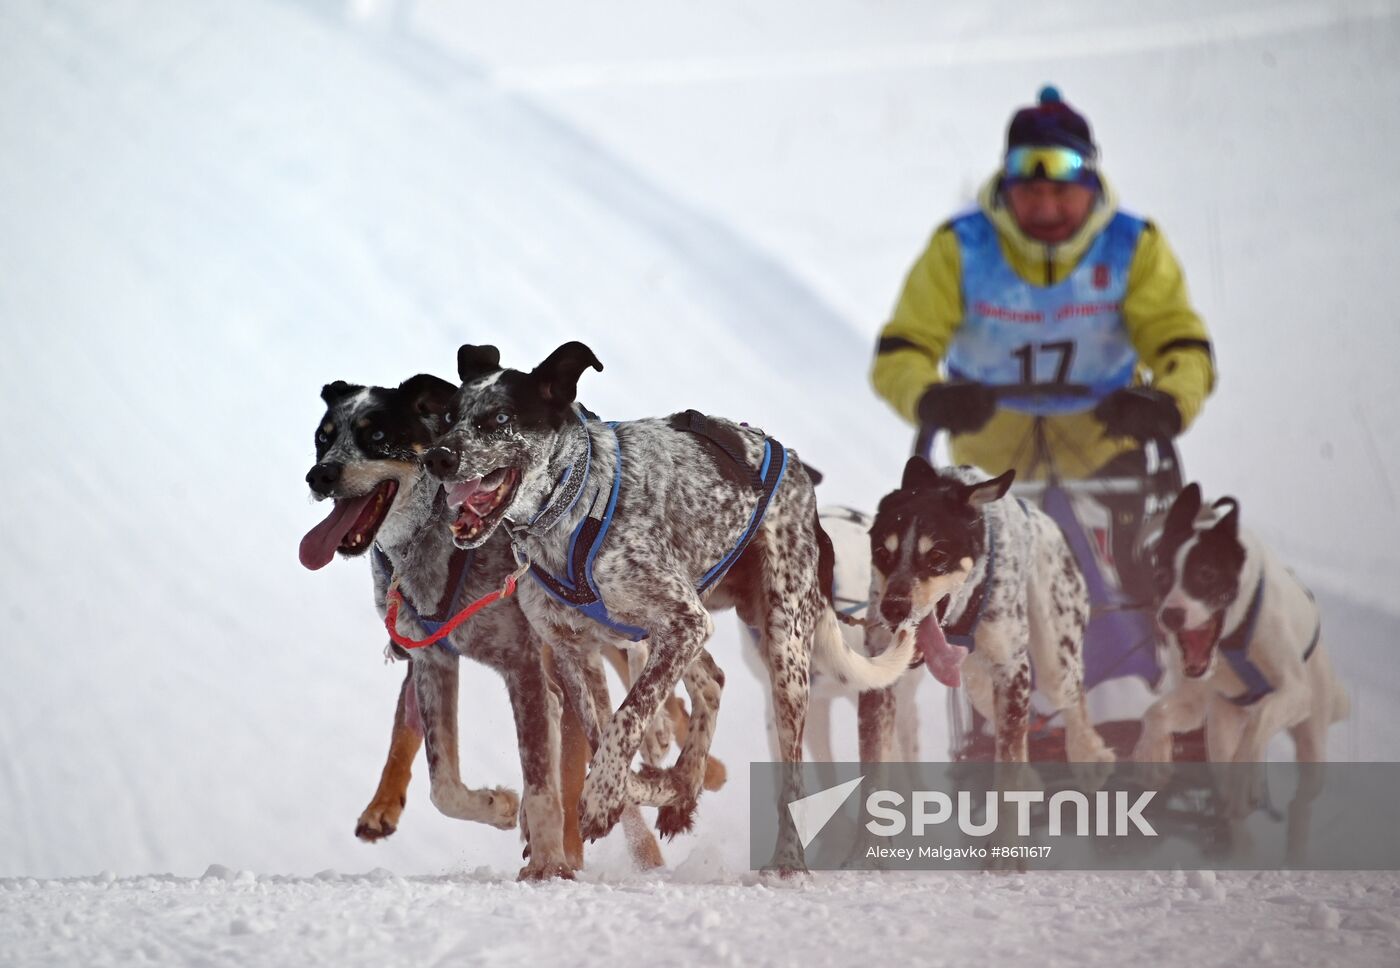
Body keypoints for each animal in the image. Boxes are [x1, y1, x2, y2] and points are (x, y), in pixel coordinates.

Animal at [301, 375, 574, 879]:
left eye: (377, 435)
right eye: (323, 438)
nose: (320, 475)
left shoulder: (524, 663)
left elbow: (543, 775)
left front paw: (548, 859)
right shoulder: (432, 659)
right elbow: (443, 785)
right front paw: (499, 804)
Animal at [420, 343, 912, 868]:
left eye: (500, 417)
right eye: (449, 416)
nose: (437, 457)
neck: (573, 510)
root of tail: (801, 478)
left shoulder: (682, 622)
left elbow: (628, 717)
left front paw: (602, 797)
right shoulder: (575, 649)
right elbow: (600, 731)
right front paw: (633, 788)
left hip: (781, 649)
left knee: (791, 777)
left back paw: (786, 861)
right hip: (688, 631)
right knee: (713, 682)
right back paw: (679, 787)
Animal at [862, 459, 1114, 767]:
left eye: (937, 555)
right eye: (882, 553)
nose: (893, 607)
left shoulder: (1012, 668)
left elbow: (1010, 754)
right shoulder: (878, 671)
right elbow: (874, 752)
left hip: (1056, 662)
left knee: (1072, 695)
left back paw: (1088, 750)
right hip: (978, 679)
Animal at [1131, 484, 1349, 778]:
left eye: (1207, 574)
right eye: (1161, 576)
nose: (1170, 615)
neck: (1231, 641)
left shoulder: (1295, 692)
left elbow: (1259, 726)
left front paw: (1247, 760)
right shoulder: (1194, 703)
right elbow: (1155, 713)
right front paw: (1151, 750)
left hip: (1312, 733)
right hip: (1220, 727)